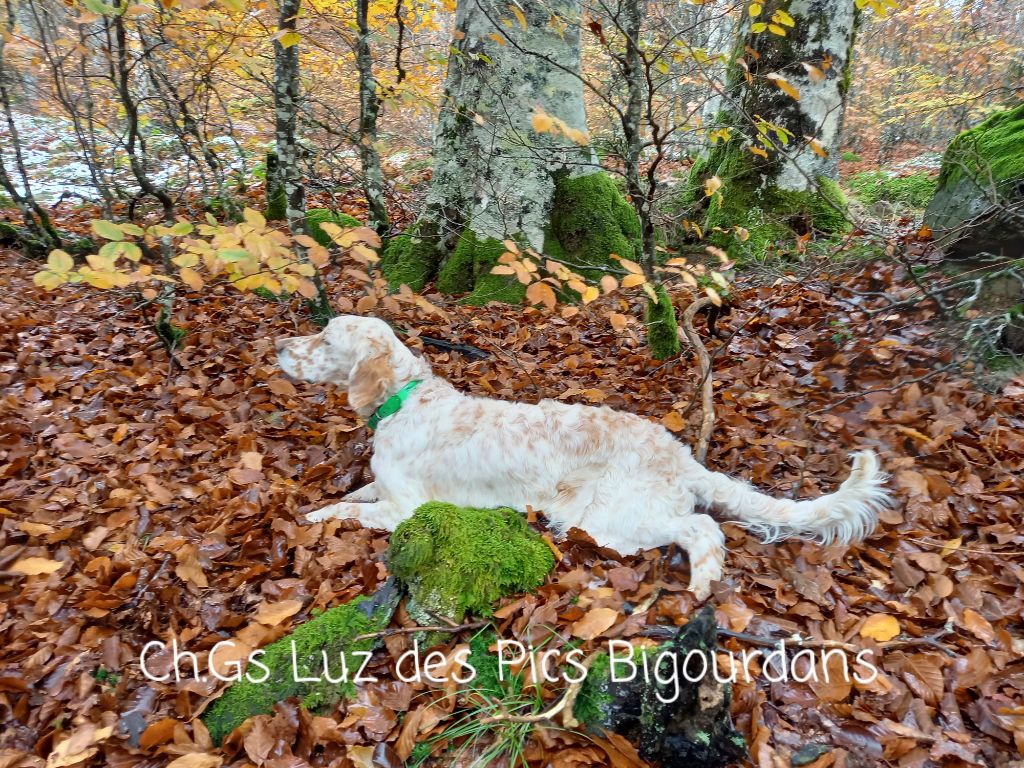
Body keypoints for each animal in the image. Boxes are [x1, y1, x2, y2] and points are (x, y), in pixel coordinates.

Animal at [274, 317, 888, 602]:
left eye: (326, 339)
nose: (280, 346)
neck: (402, 399)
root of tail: (679, 454)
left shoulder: (405, 509)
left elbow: (342, 511)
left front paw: (308, 518)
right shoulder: (384, 490)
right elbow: (354, 493)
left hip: (613, 518)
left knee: (703, 527)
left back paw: (699, 586)